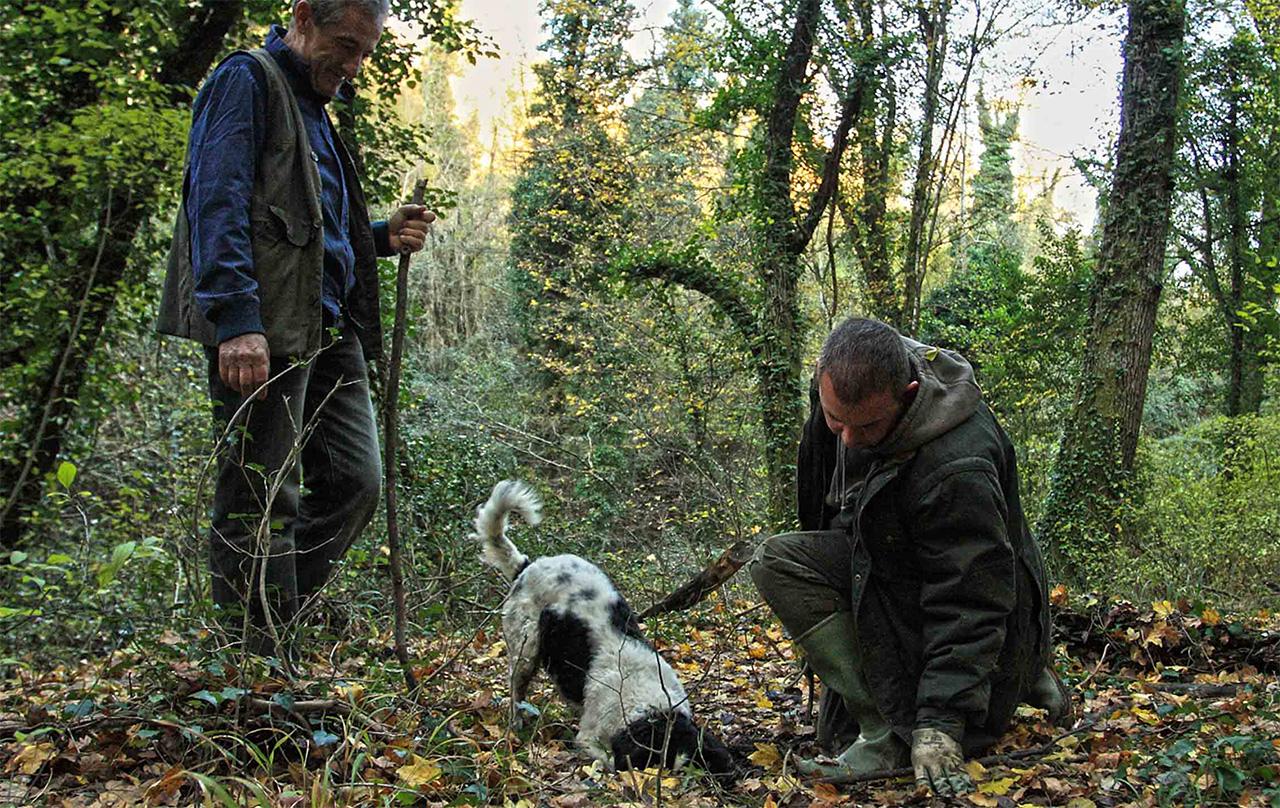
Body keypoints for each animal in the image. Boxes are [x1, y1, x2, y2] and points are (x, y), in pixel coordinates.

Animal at [473, 481, 737, 778]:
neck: (648, 706)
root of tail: (527, 566)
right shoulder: (590, 739)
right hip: (525, 650)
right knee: (516, 689)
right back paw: (515, 724)